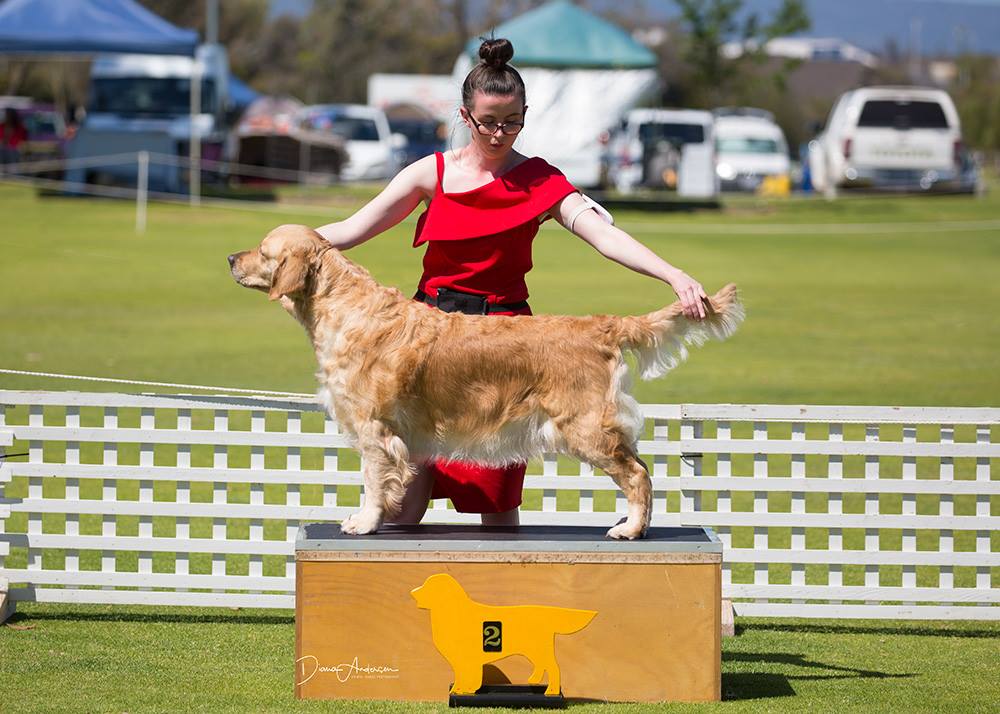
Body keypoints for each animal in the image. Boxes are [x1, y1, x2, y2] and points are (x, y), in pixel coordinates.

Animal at [227, 225, 744, 536]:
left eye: (264, 251)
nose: (231, 256)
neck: (345, 307)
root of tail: (603, 324)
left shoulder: (376, 430)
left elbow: (374, 481)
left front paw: (364, 522)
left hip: (586, 428)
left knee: (638, 474)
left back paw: (630, 529)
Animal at [410, 572, 596, 696]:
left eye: (428, 586)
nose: (412, 592)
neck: (455, 612)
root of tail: (546, 613)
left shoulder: (470, 660)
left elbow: (470, 677)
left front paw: (467, 690)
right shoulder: (460, 661)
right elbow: (460, 677)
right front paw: (458, 690)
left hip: (538, 650)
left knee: (554, 668)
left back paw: (551, 691)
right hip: (535, 651)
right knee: (542, 666)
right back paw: (534, 680)